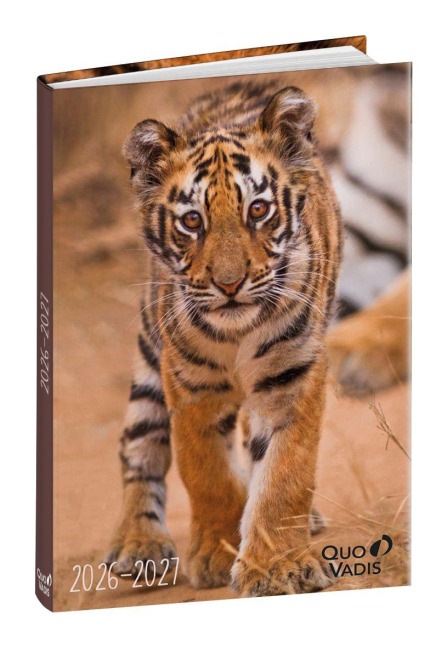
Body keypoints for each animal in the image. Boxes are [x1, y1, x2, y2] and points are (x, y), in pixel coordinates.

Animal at [104, 80, 342, 596]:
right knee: (139, 445)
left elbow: (286, 475)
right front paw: (216, 555)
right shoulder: (190, 386)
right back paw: (138, 543)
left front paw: (276, 567)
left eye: (259, 210)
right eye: (192, 221)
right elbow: (206, 472)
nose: (230, 284)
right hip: (151, 353)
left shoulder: (294, 378)